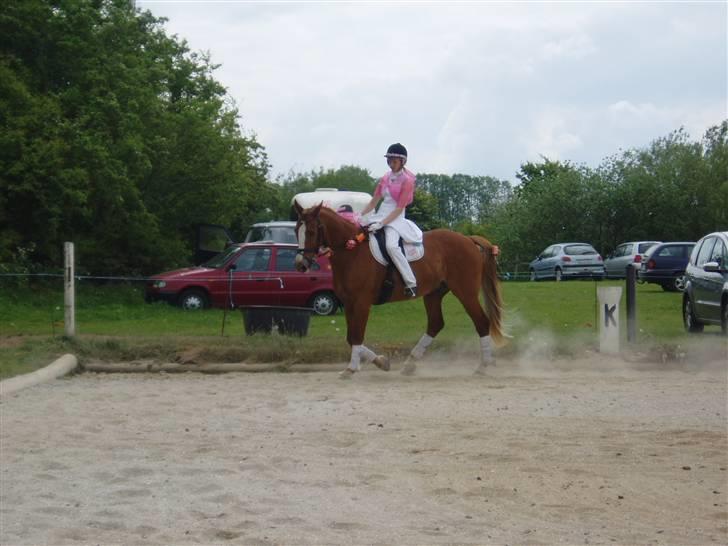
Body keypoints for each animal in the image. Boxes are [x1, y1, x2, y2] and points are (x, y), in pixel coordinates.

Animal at [292, 202, 504, 376]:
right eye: (296, 230)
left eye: (311, 232)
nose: (301, 265)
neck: (351, 251)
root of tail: (468, 239)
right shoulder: (349, 303)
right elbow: (351, 337)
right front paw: (380, 362)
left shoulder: (361, 303)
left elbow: (356, 335)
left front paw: (352, 368)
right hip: (433, 293)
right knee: (435, 324)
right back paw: (410, 363)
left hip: (465, 292)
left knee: (481, 322)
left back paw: (483, 365)